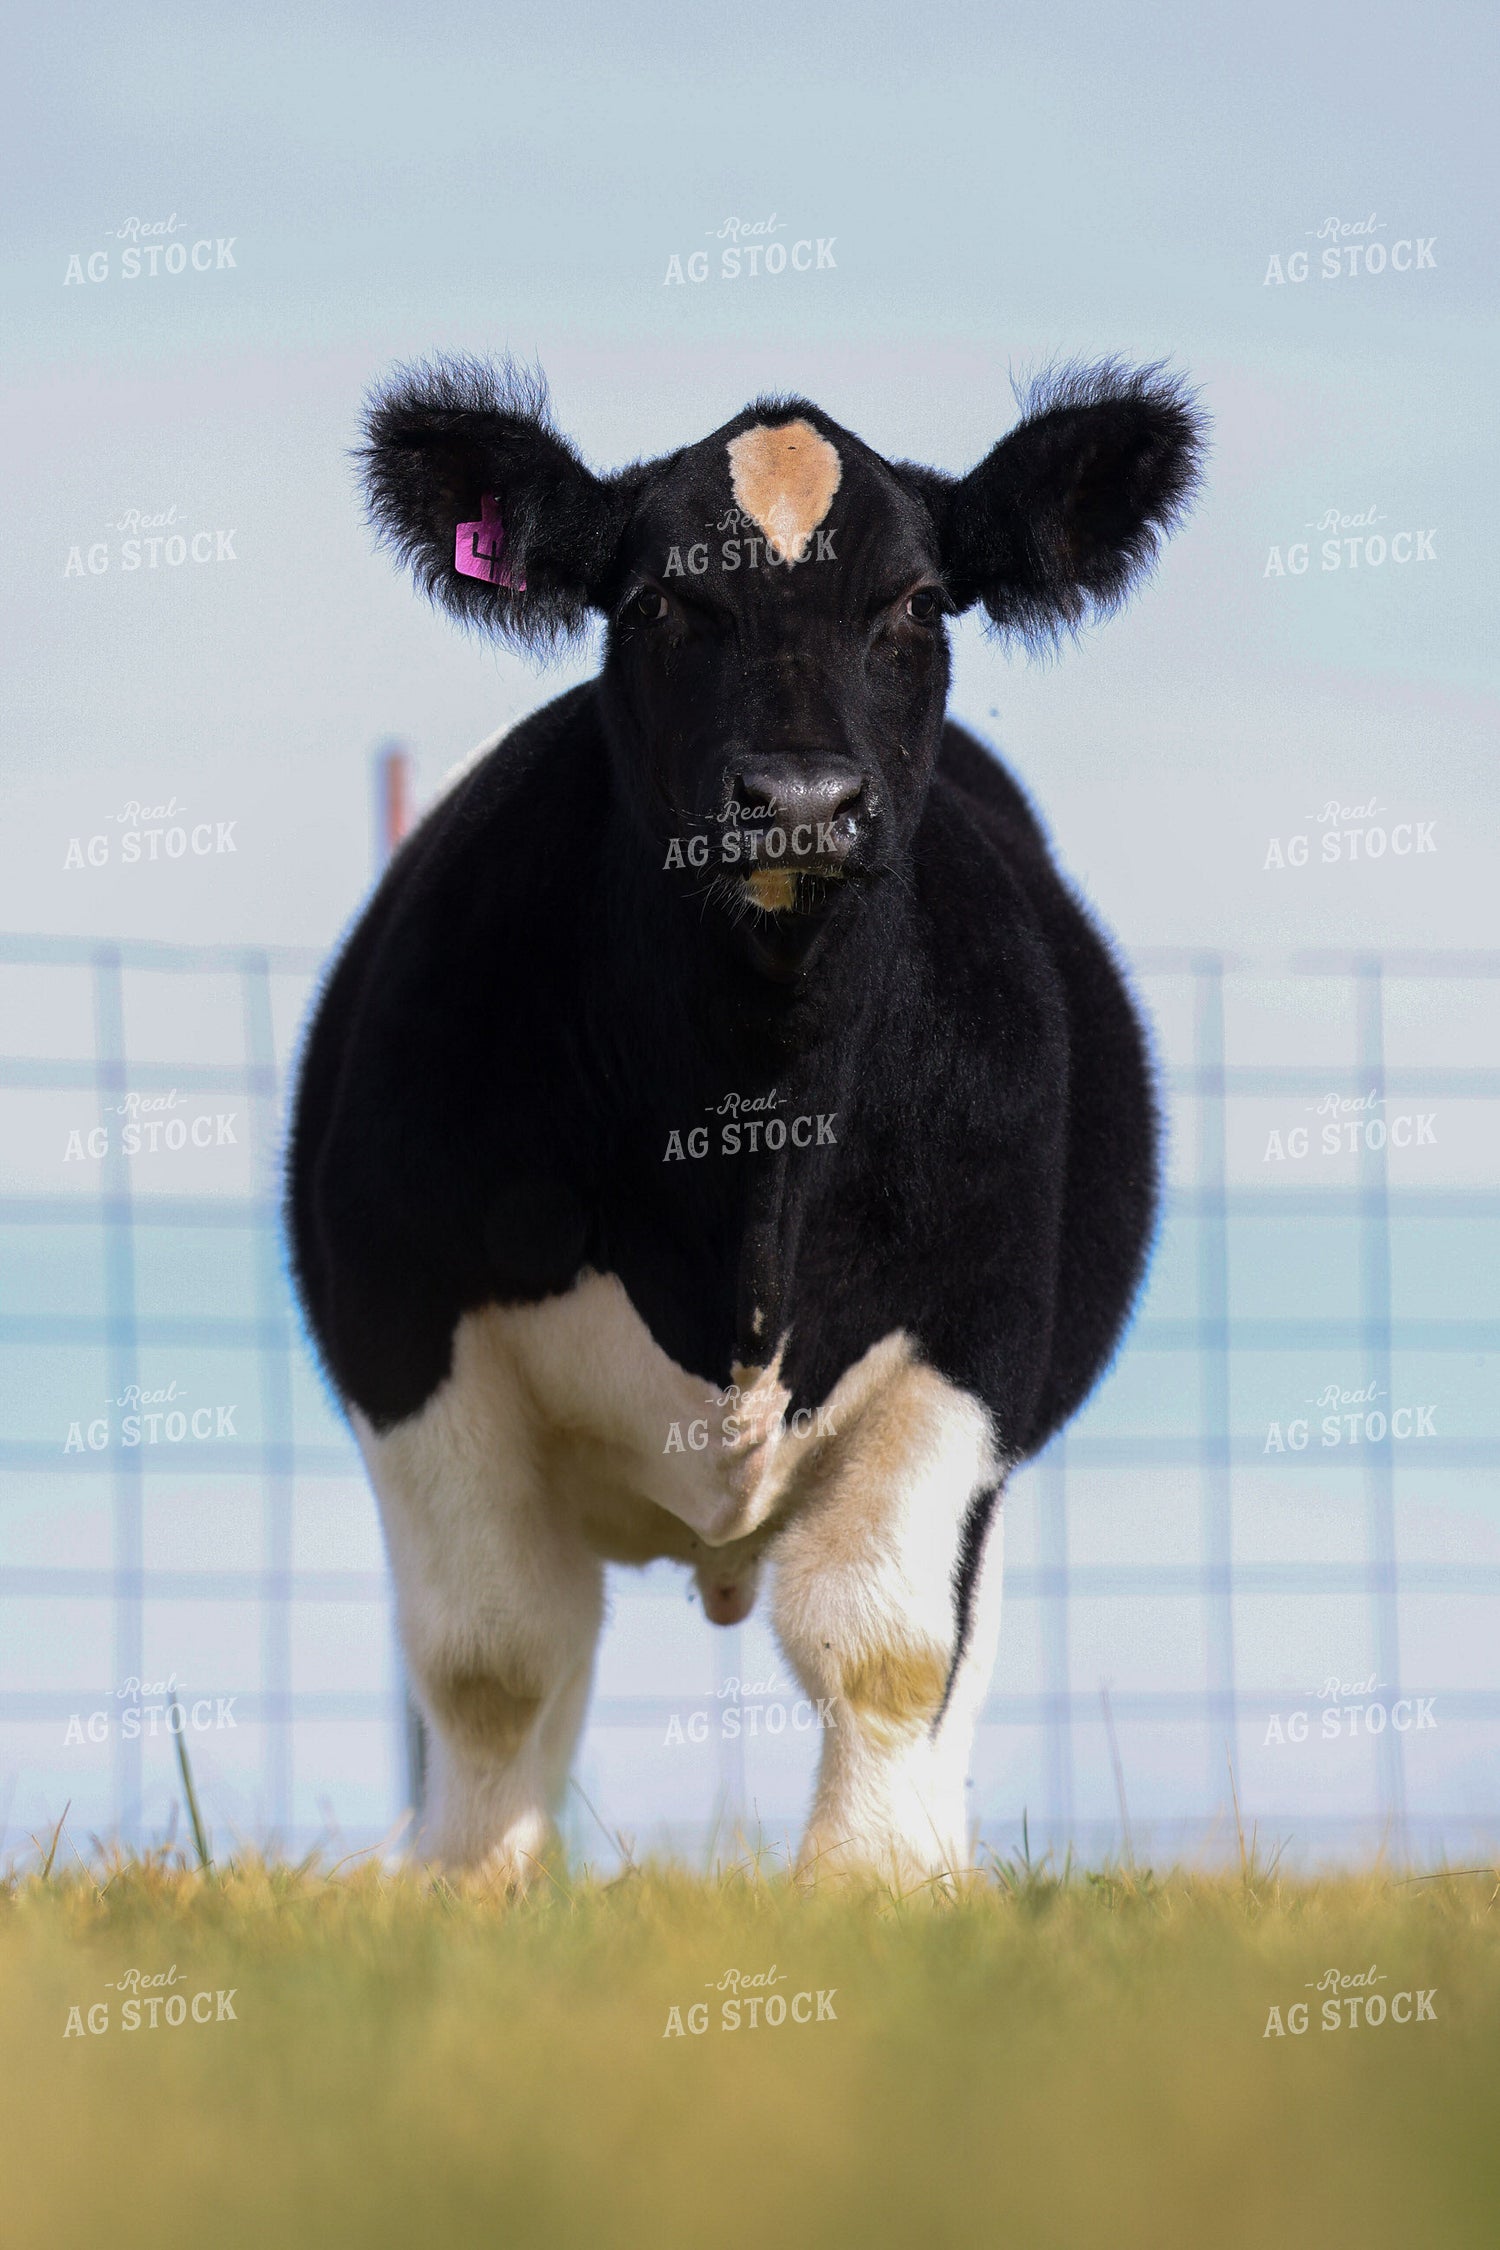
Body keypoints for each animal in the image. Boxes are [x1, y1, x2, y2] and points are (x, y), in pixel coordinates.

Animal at [287, 355, 1204, 1887]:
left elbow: (891, 1646)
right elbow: (492, 1661)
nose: (798, 801)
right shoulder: (407, 1324)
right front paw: (473, 1893)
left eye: (918, 603)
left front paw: (874, 1890)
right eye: (658, 603)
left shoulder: (973, 1335)